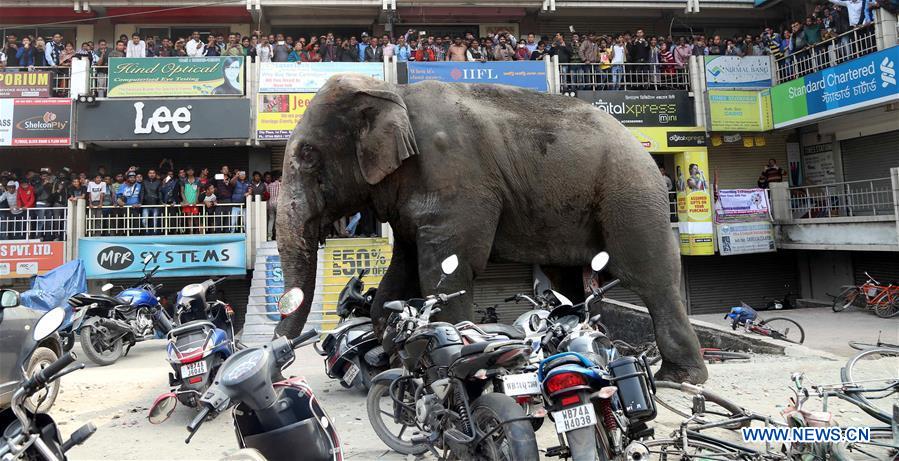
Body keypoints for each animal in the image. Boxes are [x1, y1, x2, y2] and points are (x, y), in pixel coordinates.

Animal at [274, 73, 712, 382]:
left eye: (308, 154)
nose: (282, 363)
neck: (394, 91)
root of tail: (642, 145)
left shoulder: (455, 177)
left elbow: (447, 268)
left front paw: (442, 364)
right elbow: (401, 272)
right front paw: (392, 360)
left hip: (630, 194)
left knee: (649, 277)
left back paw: (681, 377)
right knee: (565, 282)